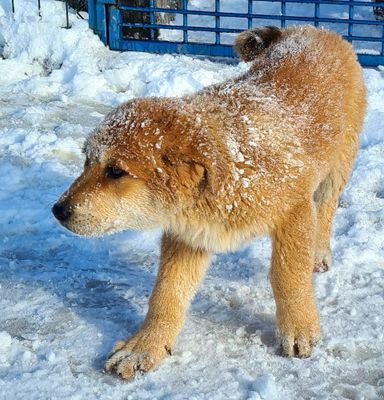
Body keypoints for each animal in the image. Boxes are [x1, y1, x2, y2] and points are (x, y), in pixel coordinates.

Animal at [51, 25, 366, 378]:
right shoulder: (188, 236)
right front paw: (145, 345)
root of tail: (311, 29)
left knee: (326, 208)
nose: (57, 210)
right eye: (86, 161)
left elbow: (288, 277)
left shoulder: (294, 211)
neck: (231, 170)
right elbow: (166, 294)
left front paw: (299, 328)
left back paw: (319, 253)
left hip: (337, 167)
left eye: (116, 171)